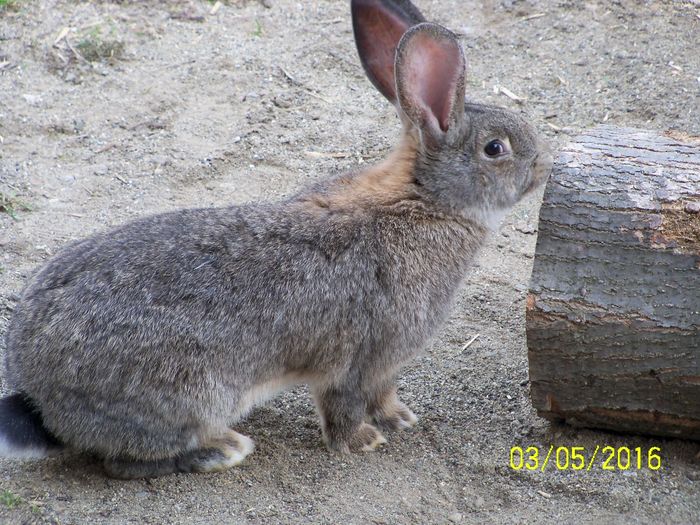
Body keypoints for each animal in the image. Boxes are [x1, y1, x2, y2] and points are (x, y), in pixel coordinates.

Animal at [0, 0, 552, 476]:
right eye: (495, 148)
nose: (544, 165)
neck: (425, 199)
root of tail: (40, 395)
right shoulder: (362, 356)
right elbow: (344, 404)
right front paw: (362, 442)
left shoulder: (384, 366)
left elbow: (383, 395)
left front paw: (399, 419)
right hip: (193, 393)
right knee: (125, 461)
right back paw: (222, 450)